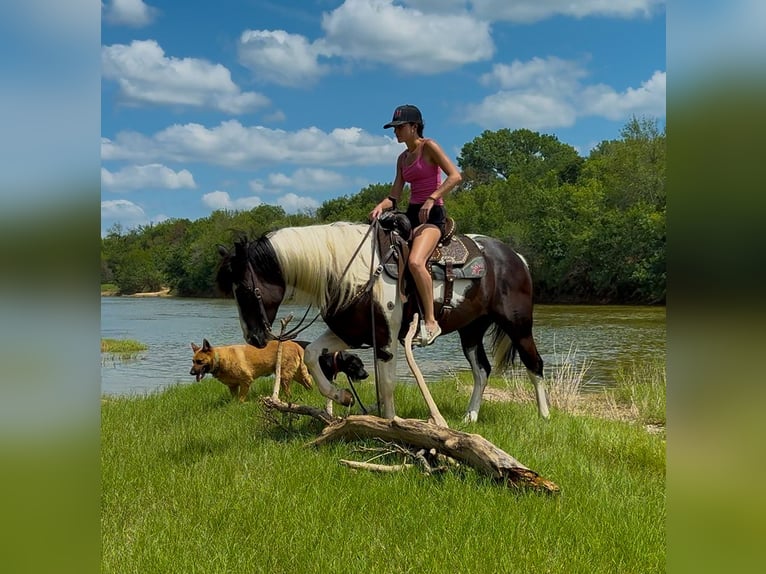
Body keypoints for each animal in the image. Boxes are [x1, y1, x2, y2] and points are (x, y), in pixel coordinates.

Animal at [215, 221, 549, 423]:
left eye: (244, 289)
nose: (254, 338)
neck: (352, 272)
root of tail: (515, 257)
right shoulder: (352, 333)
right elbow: (312, 355)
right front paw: (342, 396)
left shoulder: (387, 340)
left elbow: (386, 384)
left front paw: (391, 426)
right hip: (471, 330)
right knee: (481, 370)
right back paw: (470, 417)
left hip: (518, 325)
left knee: (534, 364)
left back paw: (544, 415)